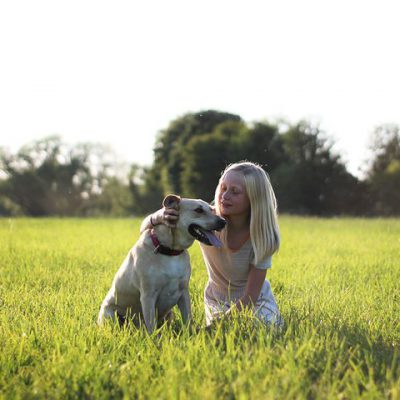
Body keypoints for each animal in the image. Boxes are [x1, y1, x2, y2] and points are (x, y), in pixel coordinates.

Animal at [97, 195, 225, 332]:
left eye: (211, 209)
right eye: (198, 210)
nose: (223, 222)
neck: (170, 251)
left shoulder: (184, 292)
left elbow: (188, 320)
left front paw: (190, 334)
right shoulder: (148, 295)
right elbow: (151, 327)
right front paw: (154, 338)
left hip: (169, 314)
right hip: (110, 314)